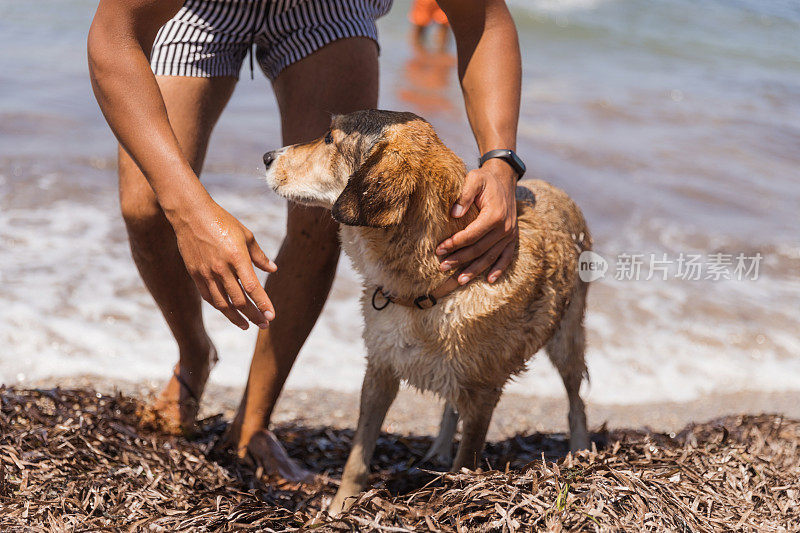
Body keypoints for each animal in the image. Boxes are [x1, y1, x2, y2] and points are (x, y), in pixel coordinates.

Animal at [262, 110, 588, 512]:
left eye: (328, 139)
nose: (267, 156)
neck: (425, 291)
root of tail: (556, 190)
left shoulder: (483, 395)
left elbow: (468, 460)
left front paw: (461, 495)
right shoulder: (380, 371)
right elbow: (358, 456)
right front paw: (340, 508)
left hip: (566, 339)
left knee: (576, 400)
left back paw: (581, 452)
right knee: (451, 406)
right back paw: (438, 451)